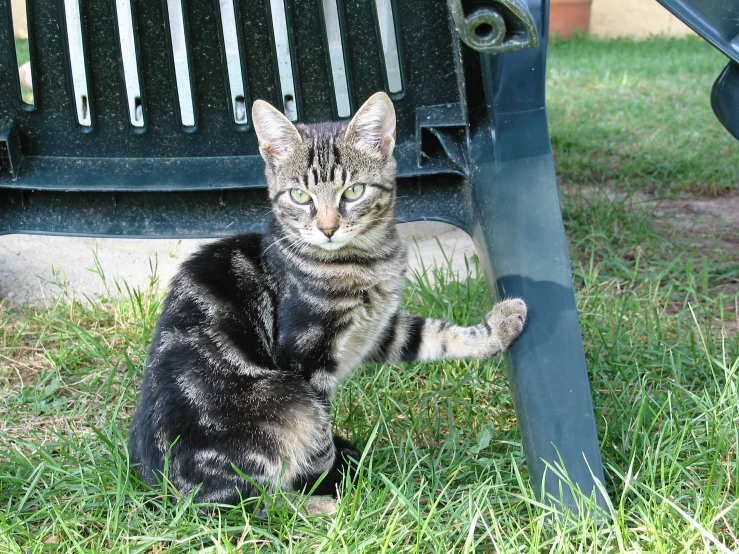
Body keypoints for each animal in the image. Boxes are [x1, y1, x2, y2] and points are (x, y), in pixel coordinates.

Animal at [130, 90, 528, 504]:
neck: (365, 261)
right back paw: (314, 503)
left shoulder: (379, 329)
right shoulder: (306, 359)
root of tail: (157, 485)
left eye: (353, 191)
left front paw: (497, 328)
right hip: (283, 399)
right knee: (246, 501)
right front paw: (332, 485)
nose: (327, 228)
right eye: (299, 195)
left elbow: (435, 334)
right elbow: (319, 439)